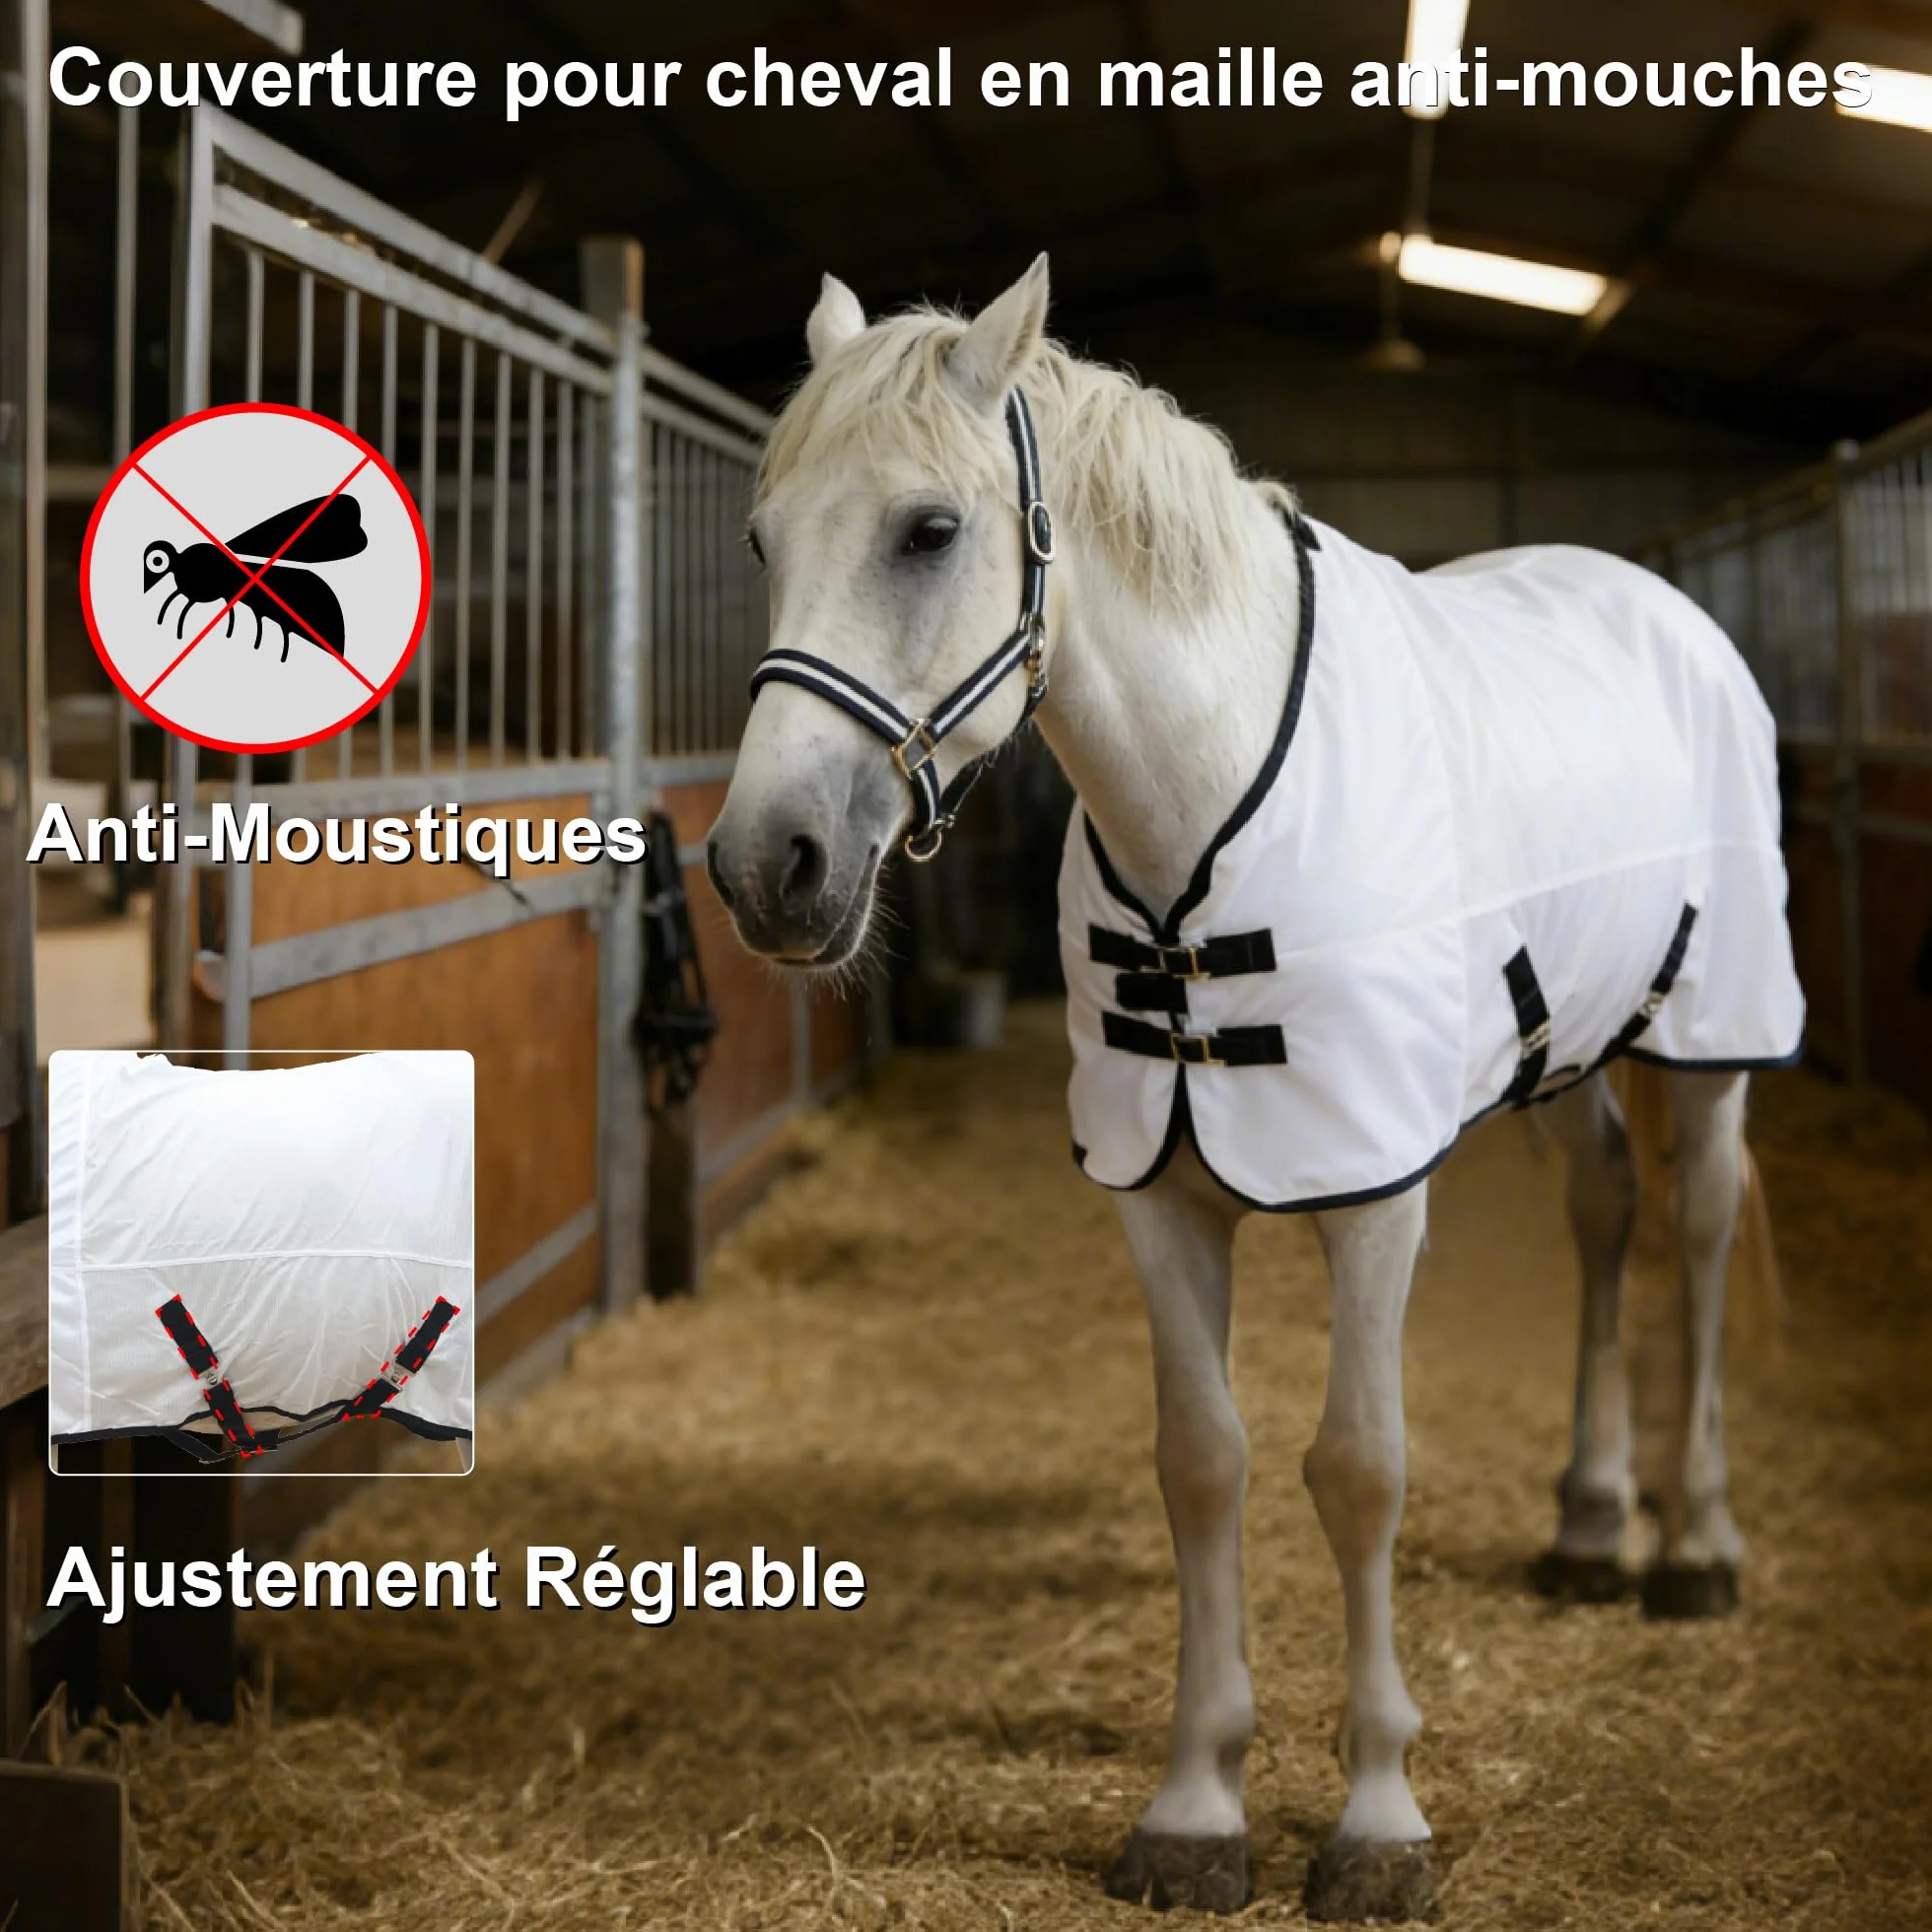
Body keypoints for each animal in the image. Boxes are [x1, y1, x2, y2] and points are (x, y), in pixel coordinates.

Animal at [706, 256, 1804, 1920]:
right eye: (767, 538)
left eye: (929, 531)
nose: (767, 868)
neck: (1202, 796)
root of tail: (1660, 603)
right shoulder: (1156, 1194)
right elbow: (1203, 1465)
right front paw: (1195, 1808)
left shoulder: (1373, 1195)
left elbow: (1357, 1470)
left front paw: (1379, 1822)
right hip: (1568, 1049)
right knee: (1609, 1221)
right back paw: (1591, 1521)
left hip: (1711, 1036)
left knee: (1699, 1236)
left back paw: (1696, 1549)